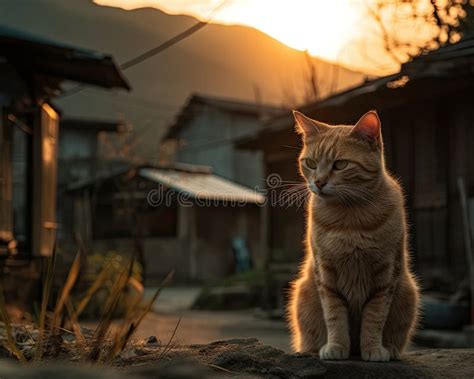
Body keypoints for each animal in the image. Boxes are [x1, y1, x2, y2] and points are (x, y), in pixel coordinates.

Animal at [288, 109, 418, 362]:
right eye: (310, 163)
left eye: (340, 165)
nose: (318, 182)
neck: (350, 219)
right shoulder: (326, 274)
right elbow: (334, 316)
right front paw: (336, 347)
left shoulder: (386, 274)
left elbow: (374, 318)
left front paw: (374, 349)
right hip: (303, 293)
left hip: (408, 293)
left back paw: (391, 349)